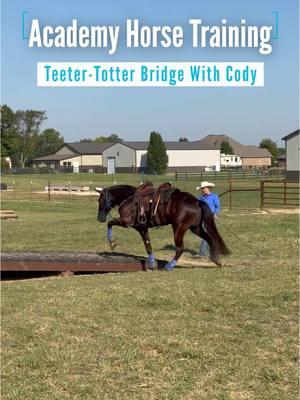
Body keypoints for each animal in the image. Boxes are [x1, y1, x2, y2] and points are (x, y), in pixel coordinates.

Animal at [96, 184, 230, 272]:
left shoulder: (126, 222)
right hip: (195, 228)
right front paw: (151, 264)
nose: (99, 218)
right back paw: (217, 260)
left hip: (179, 228)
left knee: (180, 248)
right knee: (209, 238)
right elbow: (148, 246)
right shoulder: (142, 228)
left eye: (99, 200)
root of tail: (197, 201)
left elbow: (110, 223)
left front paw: (112, 243)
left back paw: (170, 266)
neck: (129, 199)